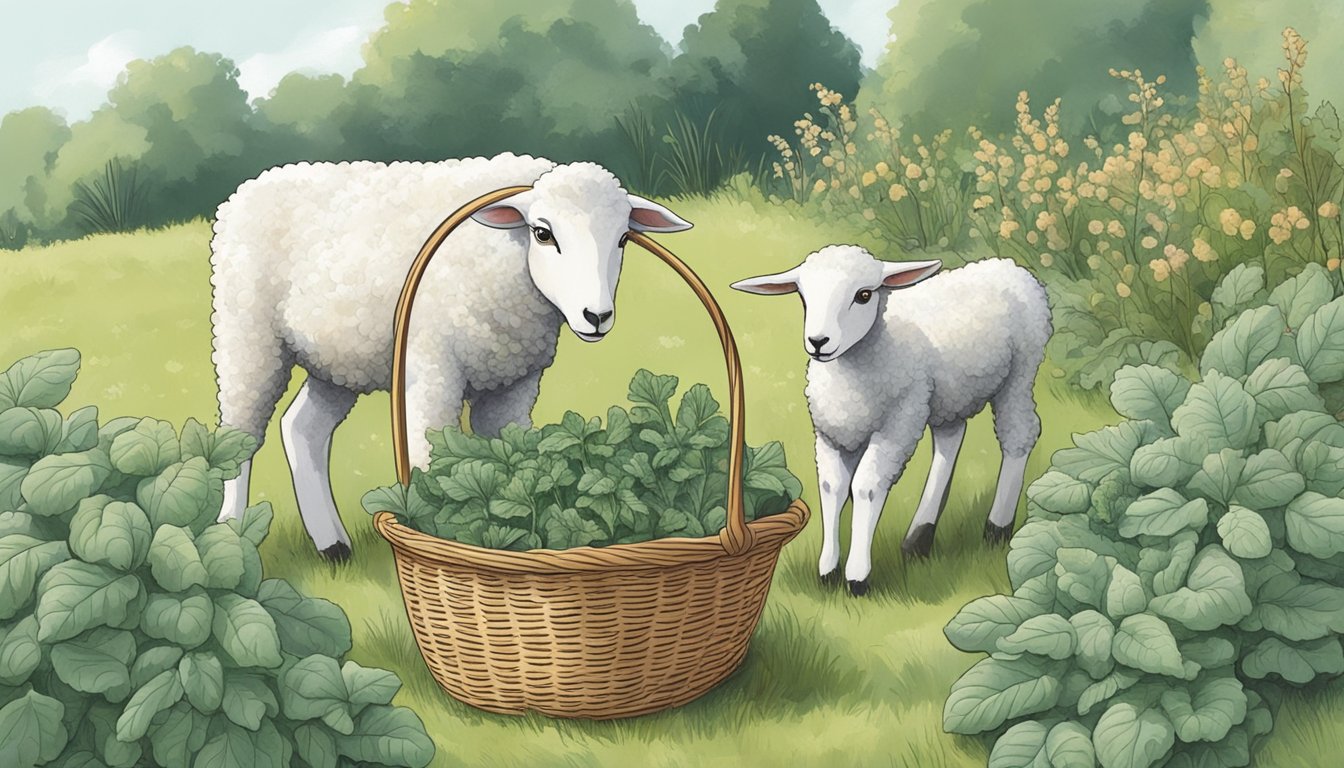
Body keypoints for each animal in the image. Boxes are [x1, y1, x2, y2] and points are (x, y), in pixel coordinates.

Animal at [212, 151, 693, 559]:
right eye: (543, 233)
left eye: (623, 239)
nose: (596, 316)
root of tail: (253, 185)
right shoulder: (433, 367)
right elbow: (430, 456)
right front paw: (433, 538)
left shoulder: (512, 383)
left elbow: (512, 457)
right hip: (247, 337)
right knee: (239, 436)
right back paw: (231, 533)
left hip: (337, 360)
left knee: (303, 428)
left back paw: (333, 545)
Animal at [731, 248, 1053, 597]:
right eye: (804, 297)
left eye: (864, 295)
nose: (818, 341)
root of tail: (1007, 266)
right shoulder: (831, 432)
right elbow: (832, 486)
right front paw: (827, 569)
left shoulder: (895, 426)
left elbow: (865, 488)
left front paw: (857, 576)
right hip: (944, 396)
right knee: (950, 440)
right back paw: (919, 537)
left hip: (1019, 373)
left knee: (1019, 435)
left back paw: (997, 525)